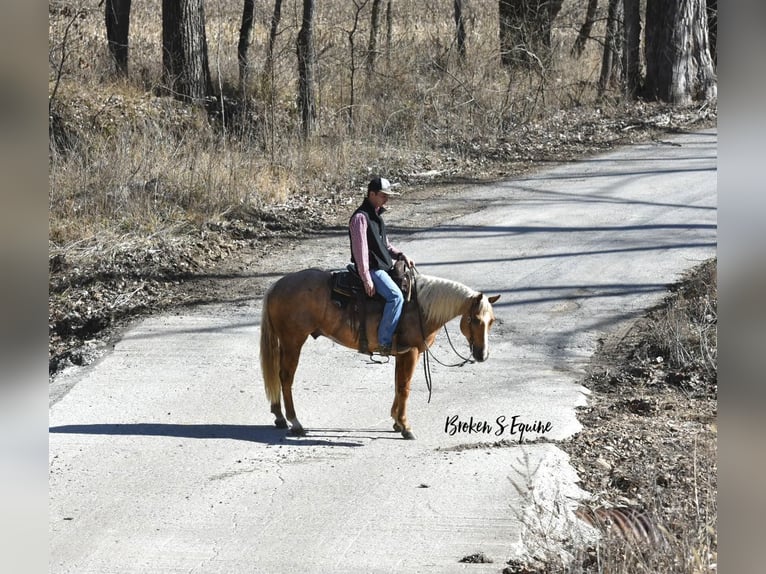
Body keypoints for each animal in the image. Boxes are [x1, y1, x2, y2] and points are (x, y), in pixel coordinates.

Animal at [258, 268, 500, 440]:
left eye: (491, 321)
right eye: (475, 319)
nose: (482, 355)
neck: (420, 308)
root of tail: (276, 285)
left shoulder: (402, 354)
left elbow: (398, 384)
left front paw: (396, 421)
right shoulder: (411, 352)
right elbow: (405, 387)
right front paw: (405, 426)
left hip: (285, 343)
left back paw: (279, 416)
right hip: (293, 342)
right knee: (286, 378)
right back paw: (295, 422)